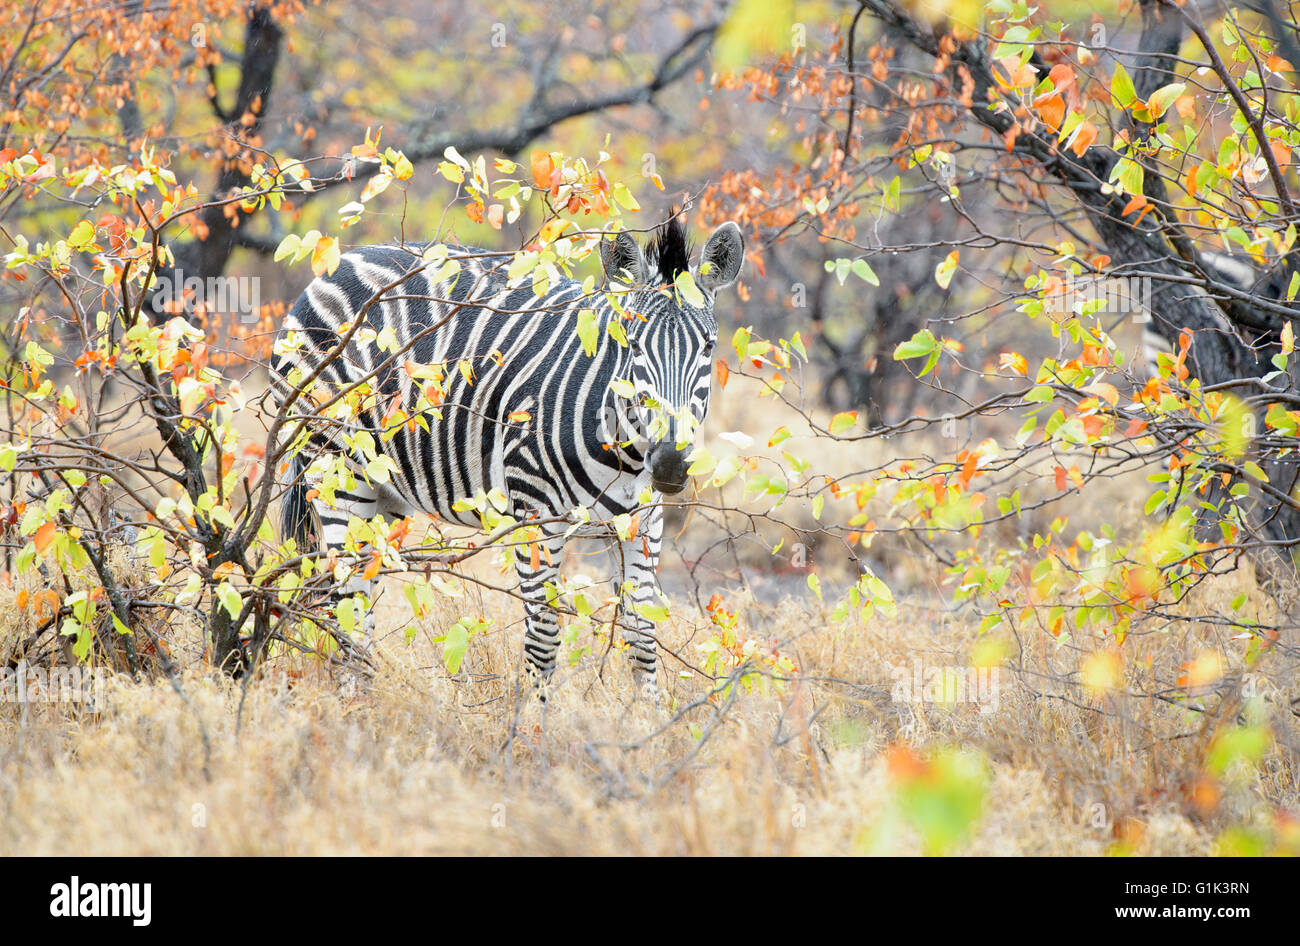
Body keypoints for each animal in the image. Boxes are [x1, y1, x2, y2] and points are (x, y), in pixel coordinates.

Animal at [271, 218, 743, 696]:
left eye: (708, 348)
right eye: (632, 345)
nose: (669, 464)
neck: (623, 454)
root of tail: (339, 259)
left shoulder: (643, 521)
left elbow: (642, 636)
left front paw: (647, 714)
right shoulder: (535, 512)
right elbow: (544, 639)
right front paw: (530, 719)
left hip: (383, 490)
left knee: (354, 601)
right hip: (335, 468)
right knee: (347, 605)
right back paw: (352, 708)